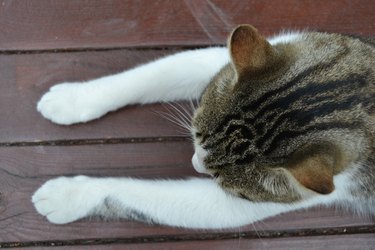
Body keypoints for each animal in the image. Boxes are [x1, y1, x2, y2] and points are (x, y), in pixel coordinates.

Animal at [32, 25, 375, 229]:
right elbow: (159, 72)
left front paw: (69, 195)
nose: (195, 162)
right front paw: (74, 98)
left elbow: (132, 195)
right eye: (195, 133)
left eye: (220, 178)